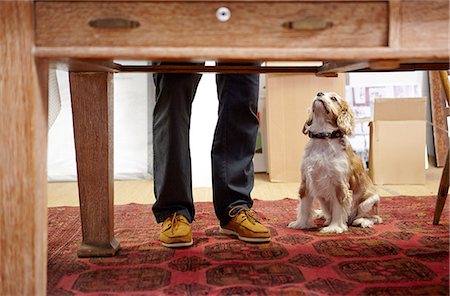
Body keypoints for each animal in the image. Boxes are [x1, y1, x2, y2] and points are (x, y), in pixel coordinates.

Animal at [288, 91, 384, 232]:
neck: (323, 139)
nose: (319, 93)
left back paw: (362, 221)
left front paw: (334, 228)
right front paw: (301, 224)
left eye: (333, 98)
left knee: (375, 218)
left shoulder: (340, 184)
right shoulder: (306, 181)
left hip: (370, 200)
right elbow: (304, 206)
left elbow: (338, 208)